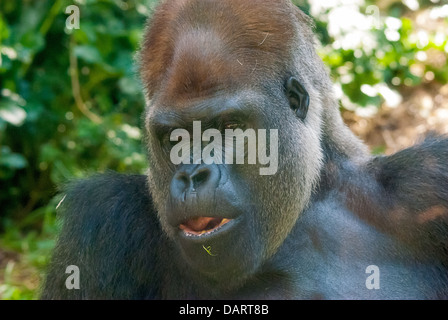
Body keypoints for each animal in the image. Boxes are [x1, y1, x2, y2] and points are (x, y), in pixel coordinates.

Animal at [42, 0, 448, 300]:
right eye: (174, 138)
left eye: (230, 128)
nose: (192, 175)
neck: (309, 203)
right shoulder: (103, 214)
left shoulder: (427, 180)